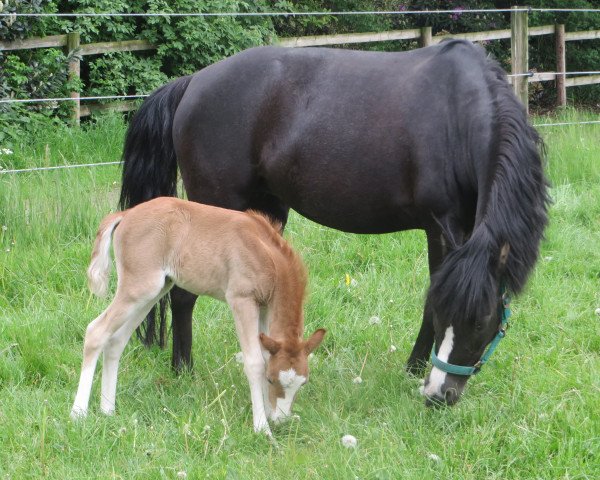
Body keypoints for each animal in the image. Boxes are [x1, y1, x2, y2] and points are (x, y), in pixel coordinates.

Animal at [72, 197, 326, 434]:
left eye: (302, 383)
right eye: (272, 379)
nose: (281, 420)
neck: (267, 254)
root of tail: (126, 214)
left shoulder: (264, 307)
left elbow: (264, 356)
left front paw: (267, 415)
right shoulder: (242, 300)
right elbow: (254, 362)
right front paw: (262, 427)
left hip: (155, 290)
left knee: (116, 340)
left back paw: (107, 410)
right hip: (139, 287)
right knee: (96, 331)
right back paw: (78, 413)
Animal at [119, 40, 552, 404]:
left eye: (480, 323)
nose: (438, 395)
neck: (458, 113)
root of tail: (192, 83)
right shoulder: (440, 227)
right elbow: (432, 294)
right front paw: (414, 367)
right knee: (182, 296)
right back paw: (183, 370)